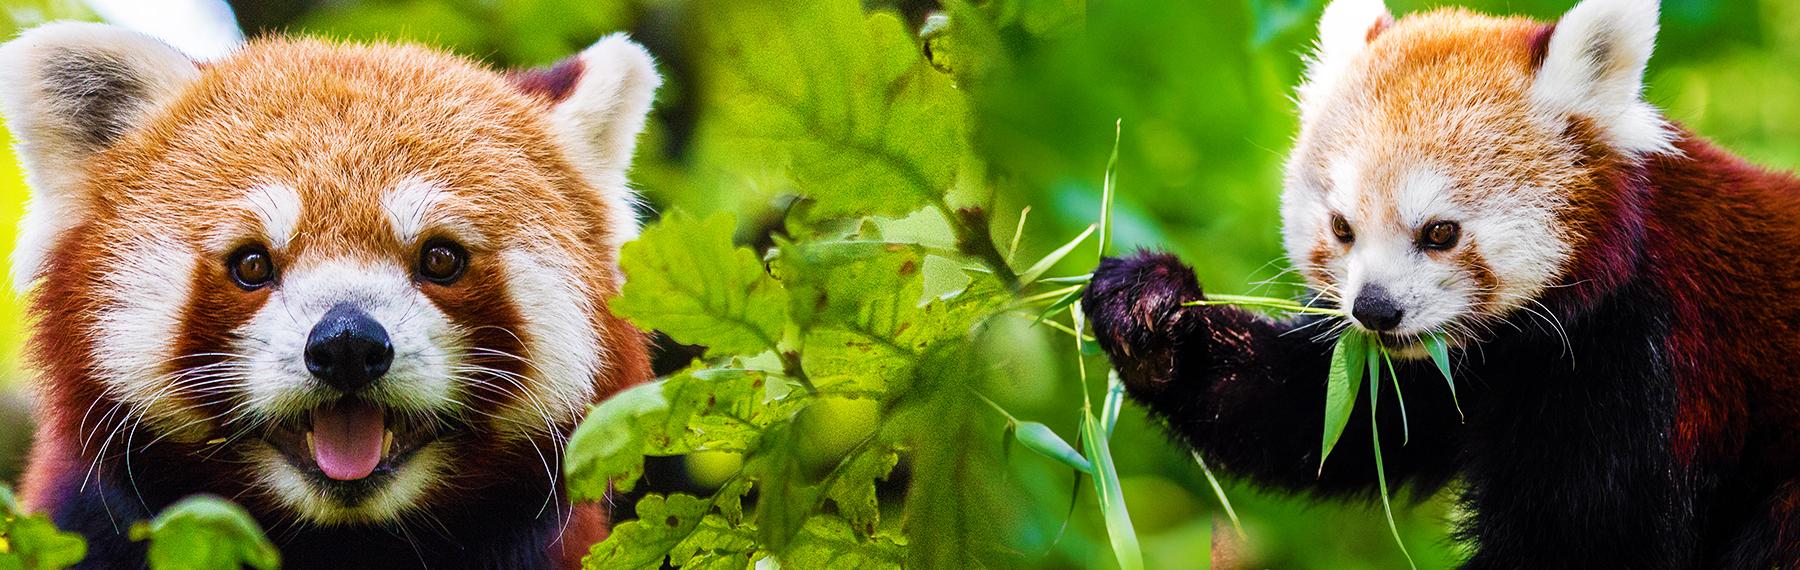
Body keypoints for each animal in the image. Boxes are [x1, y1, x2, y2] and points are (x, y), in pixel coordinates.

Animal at [1087, 0, 1800, 564]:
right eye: (1342, 227)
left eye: (1439, 232)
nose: (1375, 309)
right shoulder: (1447, 372)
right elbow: (1330, 418)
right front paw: (1150, 312)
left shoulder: (1649, 365)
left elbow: (1583, 542)